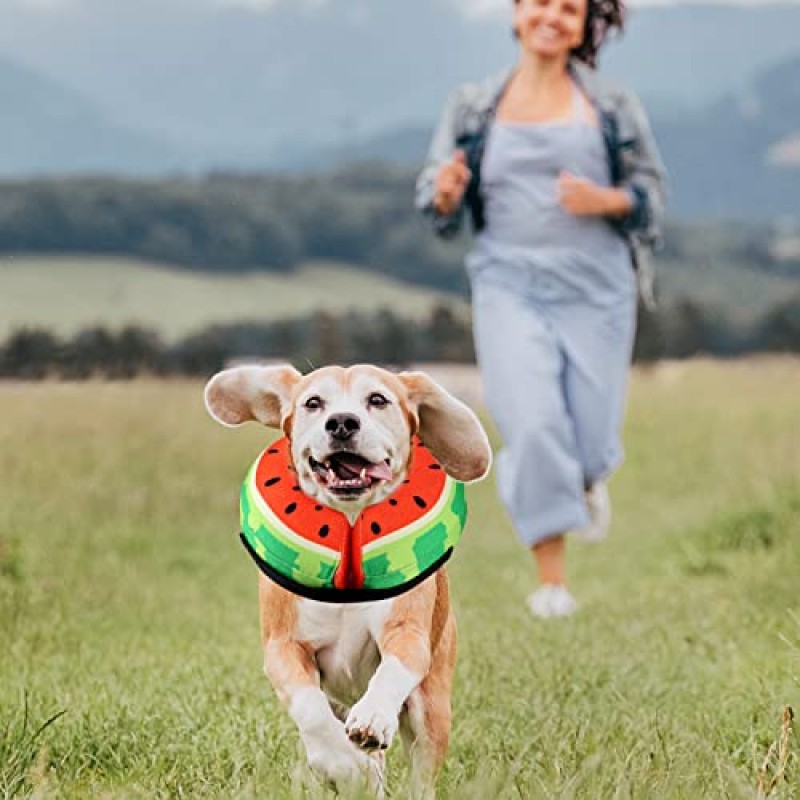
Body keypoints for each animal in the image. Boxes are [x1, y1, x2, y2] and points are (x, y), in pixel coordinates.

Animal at [203, 366, 490, 796]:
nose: (341, 423)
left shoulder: (408, 634)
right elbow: (311, 710)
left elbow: (392, 671)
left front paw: (371, 719)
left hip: (433, 704)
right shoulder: (283, 647)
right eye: (313, 403)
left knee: (423, 769)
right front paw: (346, 766)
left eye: (378, 399)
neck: (352, 522)